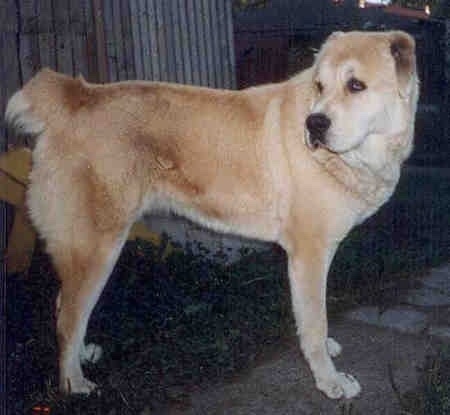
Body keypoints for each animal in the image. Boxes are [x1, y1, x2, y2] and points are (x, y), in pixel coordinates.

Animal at [5, 30, 416, 400]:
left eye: (356, 85)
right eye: (320, 86)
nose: (313, 124)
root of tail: (77, 95)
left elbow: (314, 320)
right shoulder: (309, 255)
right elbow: (314, 324)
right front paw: (331, 382)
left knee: (65, 306)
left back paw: (83, 357)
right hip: (96, 247)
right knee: (66, 317)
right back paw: (74, 384)